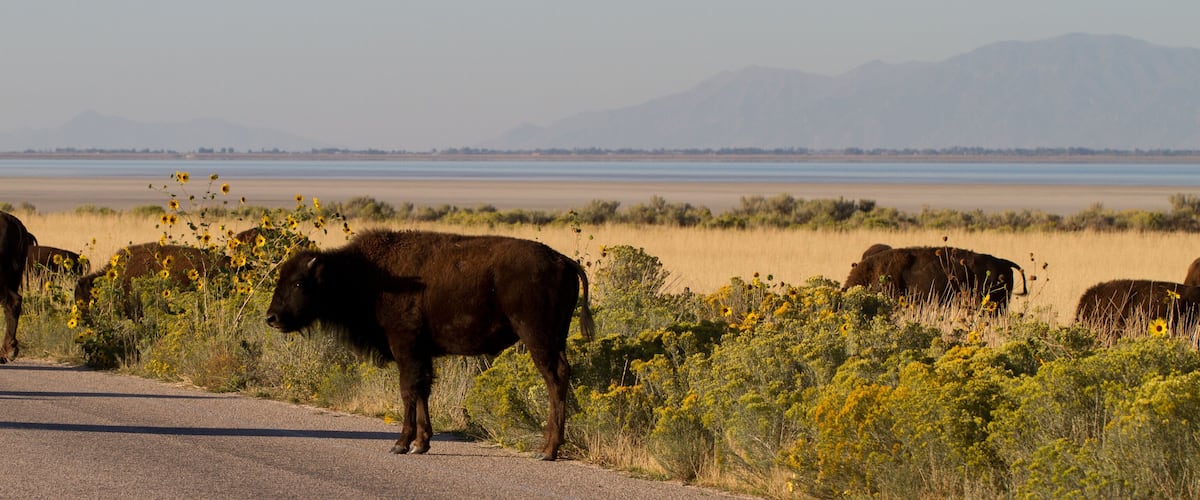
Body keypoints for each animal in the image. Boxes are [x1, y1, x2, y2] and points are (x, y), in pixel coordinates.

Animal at [265, 230, 595, 460]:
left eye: (299, 282)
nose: (272, 318)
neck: (369, 275)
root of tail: (563, 260)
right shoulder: (421, 354)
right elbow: (423, 390)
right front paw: (421, 444)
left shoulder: (405, 347)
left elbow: (408, 391)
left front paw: (401, 444)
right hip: (555, 338)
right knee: (561, 376)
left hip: (538, 338)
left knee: (555, 378)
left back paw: (547, 450)